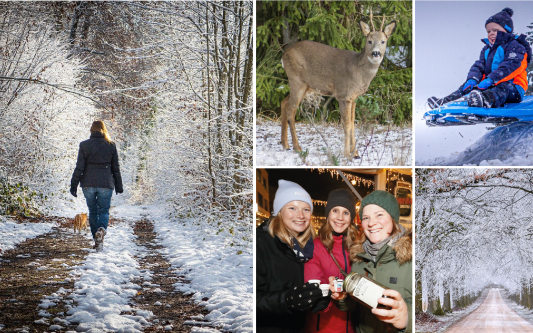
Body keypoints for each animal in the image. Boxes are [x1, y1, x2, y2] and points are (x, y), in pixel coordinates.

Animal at [278, 12, 394, 160]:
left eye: (383, 41)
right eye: (369, 41)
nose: (376, 53)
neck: (358, 70)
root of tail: (283, 55)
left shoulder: (354, 97)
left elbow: (352, 123)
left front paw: (356, 154)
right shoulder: (343, 94)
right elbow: (346, 124)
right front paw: (347, 154)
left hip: (305, 87)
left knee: (284, 102)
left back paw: (285, 145)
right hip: (296, 80)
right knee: (291, 111)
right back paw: (297, 148)